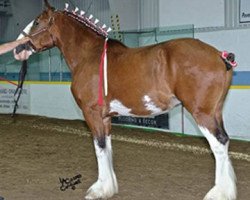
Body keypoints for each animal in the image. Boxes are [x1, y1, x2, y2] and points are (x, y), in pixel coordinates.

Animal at [14, 0, 237, 199]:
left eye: (36, 22)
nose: (17, 49)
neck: (89, 55)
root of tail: (220, 55)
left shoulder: (92, 113)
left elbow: (99, 147)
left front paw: (98, 190)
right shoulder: (105, 117)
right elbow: (107, 147)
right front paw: (109, 187)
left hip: (202, 113)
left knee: (218, 145)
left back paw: (218, 194)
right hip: (215, 111)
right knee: (224, 142)